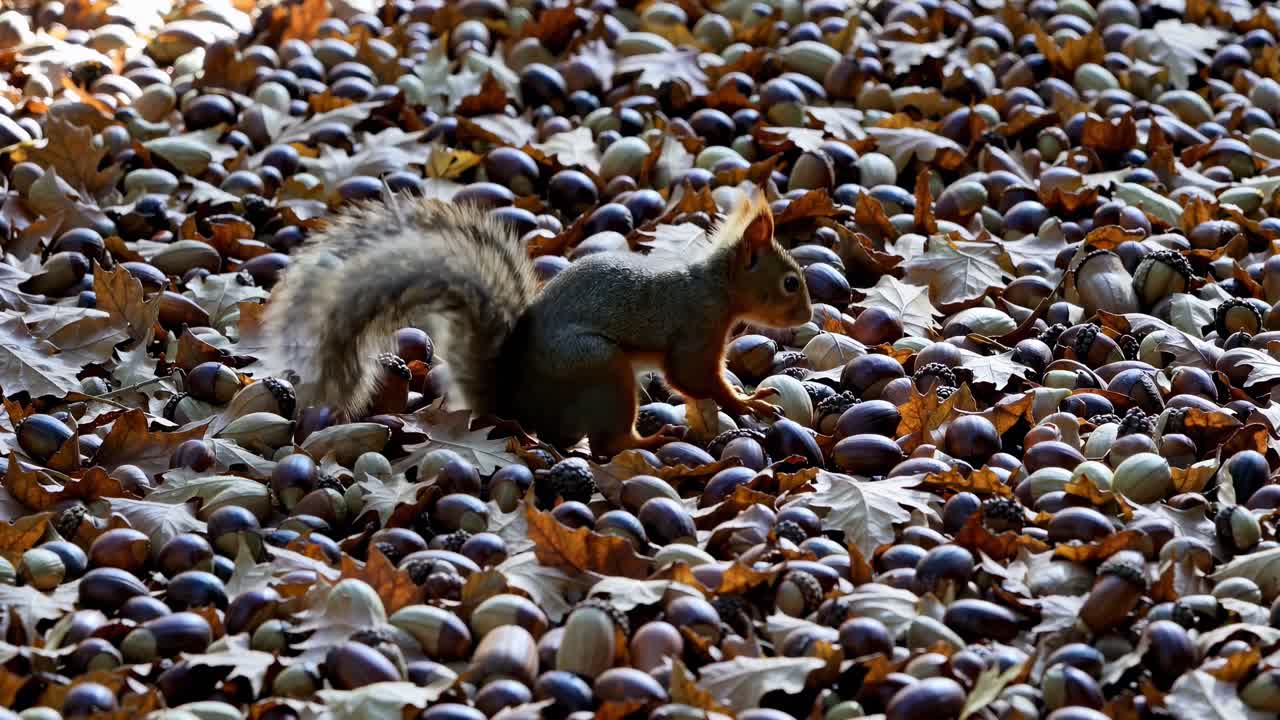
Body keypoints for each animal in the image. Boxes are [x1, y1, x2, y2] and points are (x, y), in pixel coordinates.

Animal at [263, 188, 813, 457]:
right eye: (791, 282)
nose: (809, 315)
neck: (716, 288)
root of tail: (516, 407)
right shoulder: (696, 331)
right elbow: (694, 377)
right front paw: (746, 401)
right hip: (602, 370)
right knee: (609, 444)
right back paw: (650, 442)